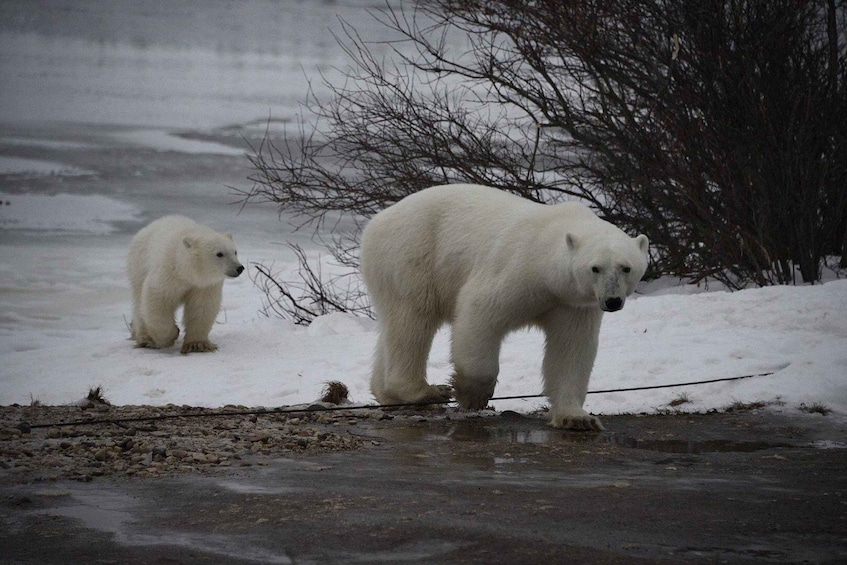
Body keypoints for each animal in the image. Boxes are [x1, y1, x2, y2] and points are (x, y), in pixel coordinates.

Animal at [127, 215, 244, 354]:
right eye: (219, 253)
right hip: (139, 264)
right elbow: (157, 297)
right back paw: (145, 338)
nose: (239, 268)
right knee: (139, 302)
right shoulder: (169, 273)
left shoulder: (204, 285)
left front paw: (197, 344)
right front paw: (169, 336)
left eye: (235, 252)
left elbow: (202, 306)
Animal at [360, 184, 649, 430]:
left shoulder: (573, 303)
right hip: (412, 257)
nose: (612, 301)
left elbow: (571, 349)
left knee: (394, 327)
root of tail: (375, 222)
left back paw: (388, 392)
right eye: (595, 268)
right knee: (413, 320)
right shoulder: (517, 269)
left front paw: (577, 418)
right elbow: (479, 312)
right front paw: (472, 394)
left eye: (626, 267)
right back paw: (425, 391)